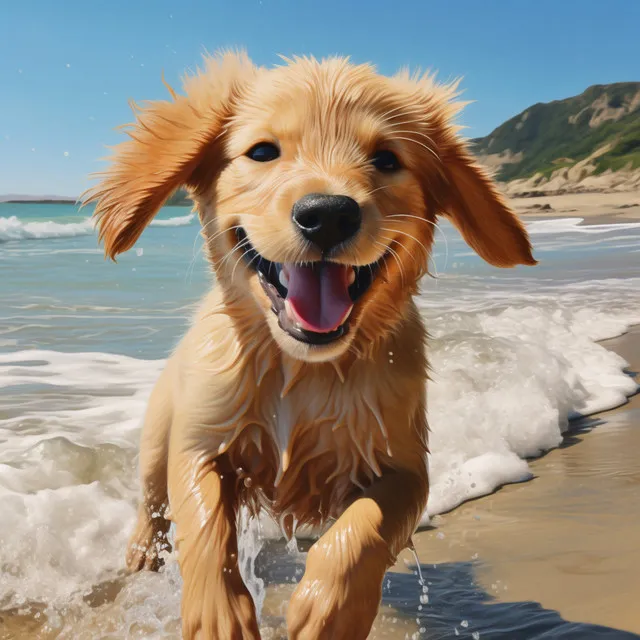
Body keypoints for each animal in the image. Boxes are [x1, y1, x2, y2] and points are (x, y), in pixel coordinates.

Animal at [84, 51, 536, 640]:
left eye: (386, 159)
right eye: (262, 151)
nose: (328, 213)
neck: (299, 366)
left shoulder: (405, 467)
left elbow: (364, 528)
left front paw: (330, 608)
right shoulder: (202, 441)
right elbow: (204, 521)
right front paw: (217, 613)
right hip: (158, 432)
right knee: (154, 501)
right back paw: (141, 552)